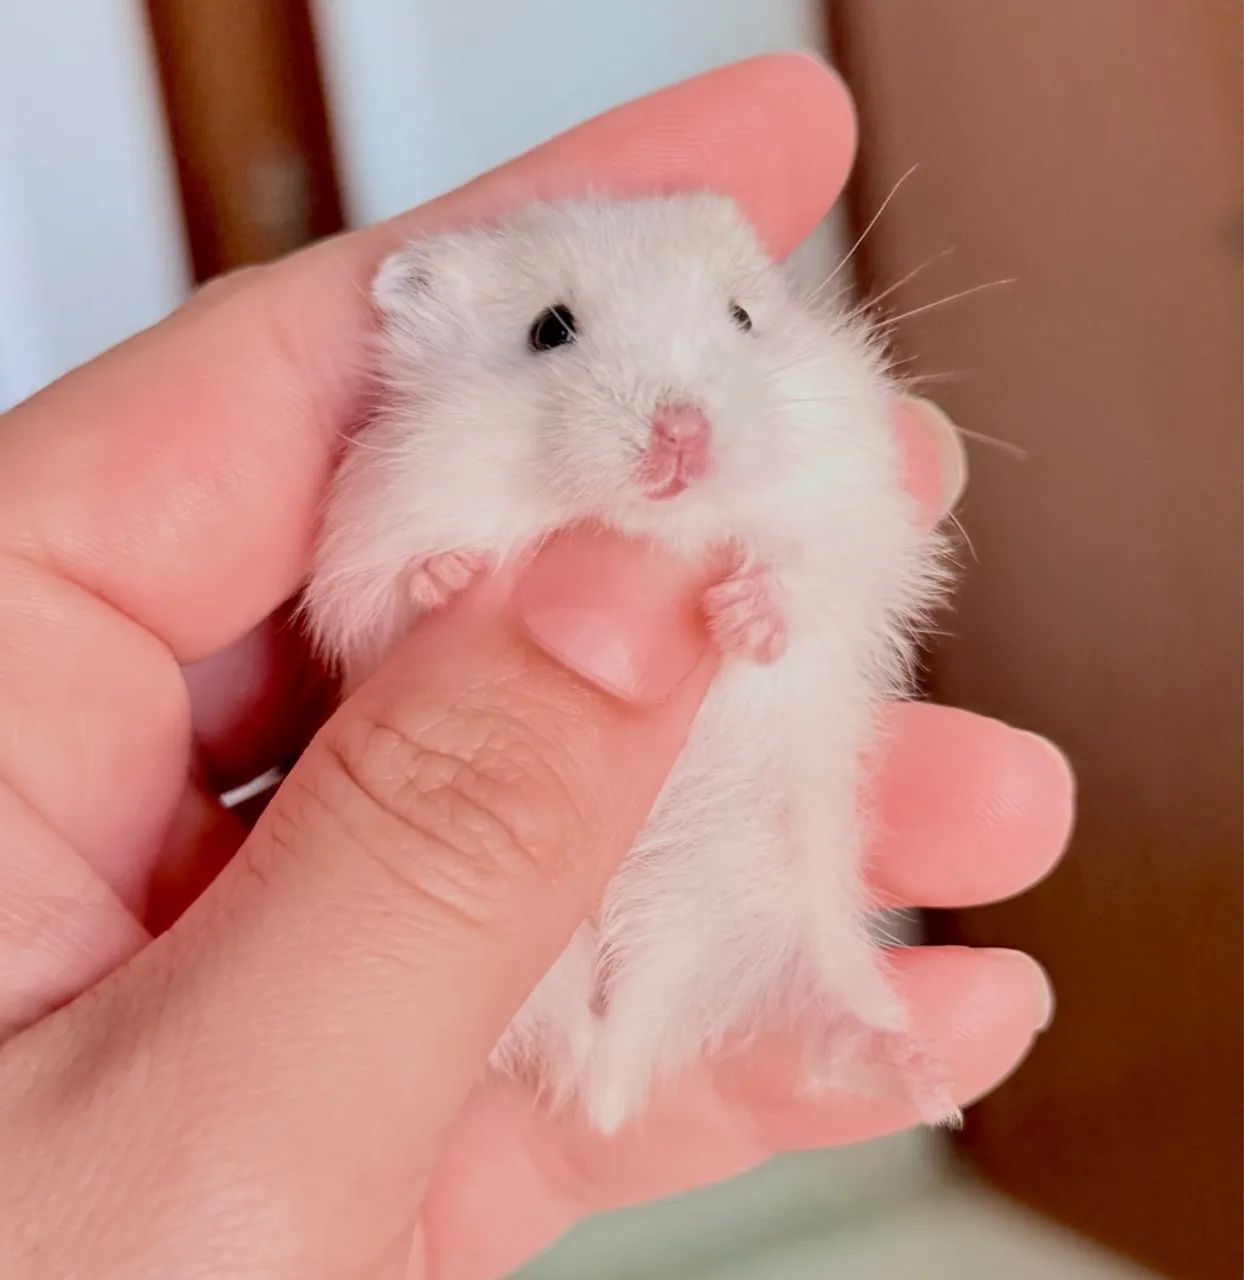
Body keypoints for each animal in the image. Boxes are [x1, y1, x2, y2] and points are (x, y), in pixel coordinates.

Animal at [304, 194, 953, 1134]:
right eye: (549, 329)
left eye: (742, 316)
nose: (683, 434)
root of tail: (611, 1052)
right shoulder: (374, 528)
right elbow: (394, 585)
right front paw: (454, 578)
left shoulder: (850, 502)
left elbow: (806, 570)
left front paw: (737, 619)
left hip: (790, 919)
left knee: (826, 1021)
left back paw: (930, 1080)